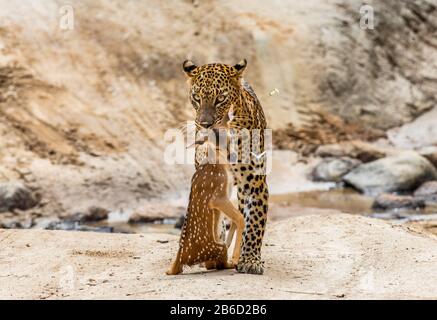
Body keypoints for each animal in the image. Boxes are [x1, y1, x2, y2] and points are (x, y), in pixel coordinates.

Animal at [181, 60, 270, 276]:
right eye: (197, 97)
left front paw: (250, 260)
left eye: (220, 99)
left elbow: (253, 222)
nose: (205, 124)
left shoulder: (254, 183)